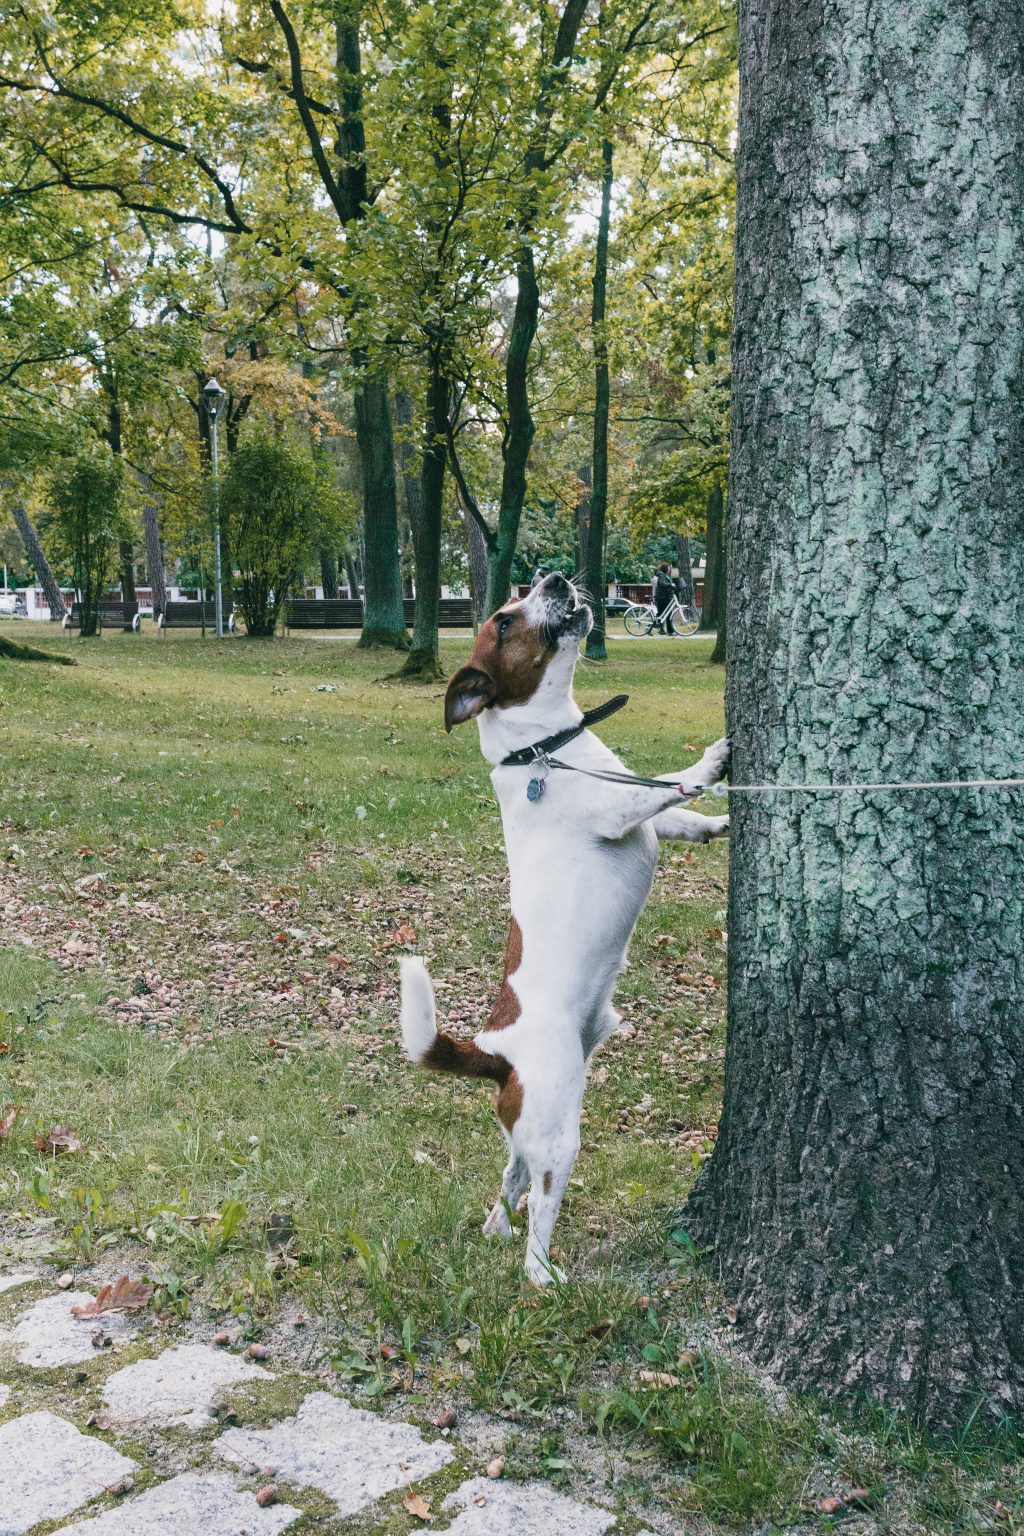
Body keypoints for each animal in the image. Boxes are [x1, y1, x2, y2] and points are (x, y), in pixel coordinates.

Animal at [399, 577, 727, 1284]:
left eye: (522, 594)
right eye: (503, 620)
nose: (554, 578)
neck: (543, 753)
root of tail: (495, 1054)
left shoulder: (646, 821)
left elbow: (682, 817)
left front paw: (718, 824)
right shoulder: (618, 808)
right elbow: (671, 784)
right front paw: (715, 761)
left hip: (530, 1138)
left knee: (508, 1182)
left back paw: (495, 1229)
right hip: (560, 1136)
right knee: (538, 1222)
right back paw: (544, 1277)